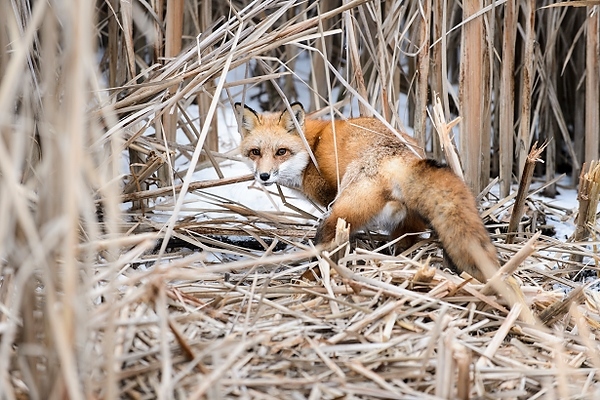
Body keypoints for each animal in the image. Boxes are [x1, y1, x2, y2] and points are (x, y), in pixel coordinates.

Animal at [237, 103, 500, 284]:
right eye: (255, 152)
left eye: (281, 151)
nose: (264, 176)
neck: (311, 149)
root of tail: (401, 158)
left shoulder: (328, 198)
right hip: (404, 226)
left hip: (338, 215)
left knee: (327, 250)